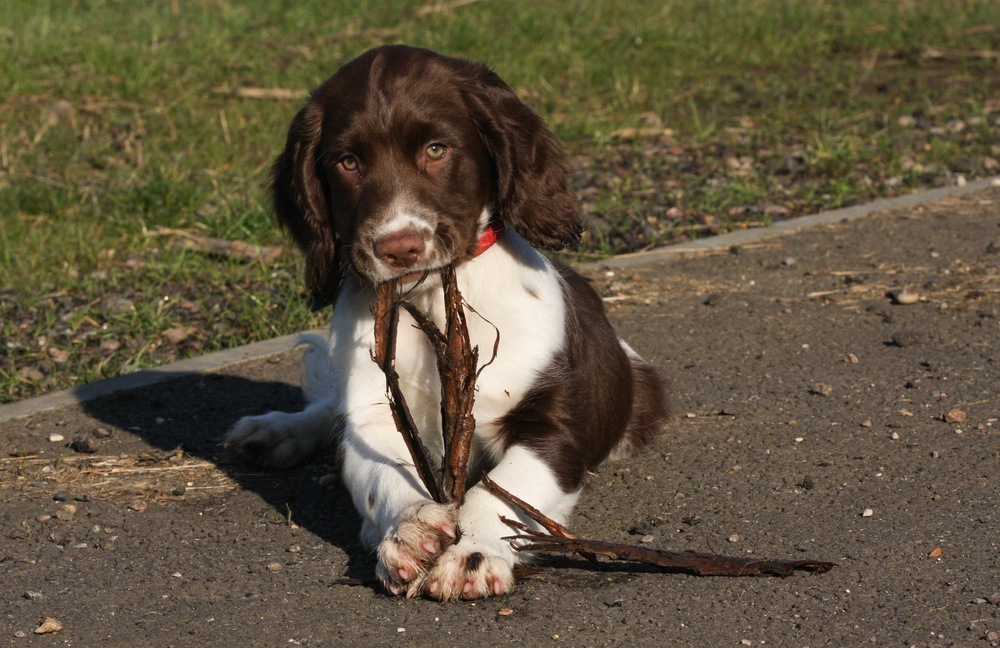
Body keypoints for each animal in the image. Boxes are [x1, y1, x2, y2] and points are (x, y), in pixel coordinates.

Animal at [223, 46, 668, 604]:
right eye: (348, 162)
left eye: (436, 149)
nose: (399, 247)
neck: (432, 299)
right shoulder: (377, 414)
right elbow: (381, 473)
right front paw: (409, 531)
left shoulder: (557, 425)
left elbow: (502, 489)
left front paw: (472, 554)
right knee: (332, 414)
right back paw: (276, 430)